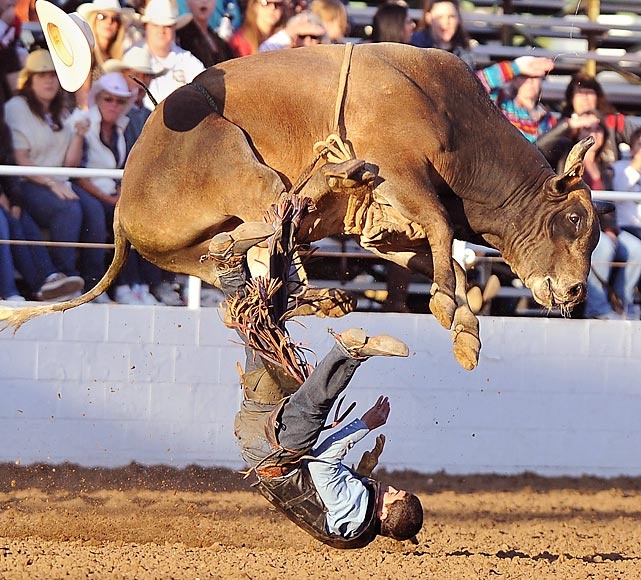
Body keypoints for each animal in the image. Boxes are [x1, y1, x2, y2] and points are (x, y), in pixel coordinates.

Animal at [0, 44, 608, 370]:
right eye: (574, 220)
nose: (577, 292)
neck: (447, 111)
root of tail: (124, 205)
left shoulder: (382, 223)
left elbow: (438, 255)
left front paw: (463, 314)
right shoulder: (401, 171)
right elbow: (439, 232)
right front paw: (453, 319)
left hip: (190, 254)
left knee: (244, 275)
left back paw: (318, 296)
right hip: (241, 166)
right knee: (263, 231)